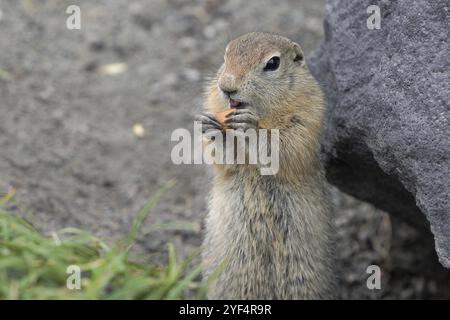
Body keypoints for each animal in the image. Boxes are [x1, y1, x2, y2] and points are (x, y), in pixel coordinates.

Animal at [195, 32, 336, 300]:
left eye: (272, 63)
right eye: (226, 55)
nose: (226, 87)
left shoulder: (306, 117)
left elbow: (281, 146)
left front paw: (250, 127)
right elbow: (227, 160)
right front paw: (209, 126)